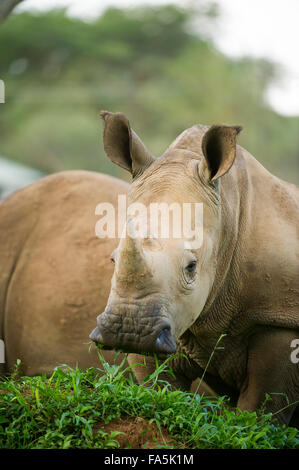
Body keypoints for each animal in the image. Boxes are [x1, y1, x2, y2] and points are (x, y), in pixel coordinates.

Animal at [91, 110, 299, 426]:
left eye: (191, 267)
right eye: (113, 260)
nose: (129, 331)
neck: (228, 210)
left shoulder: (279, 317)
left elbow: (261, 412)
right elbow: (157, 385)